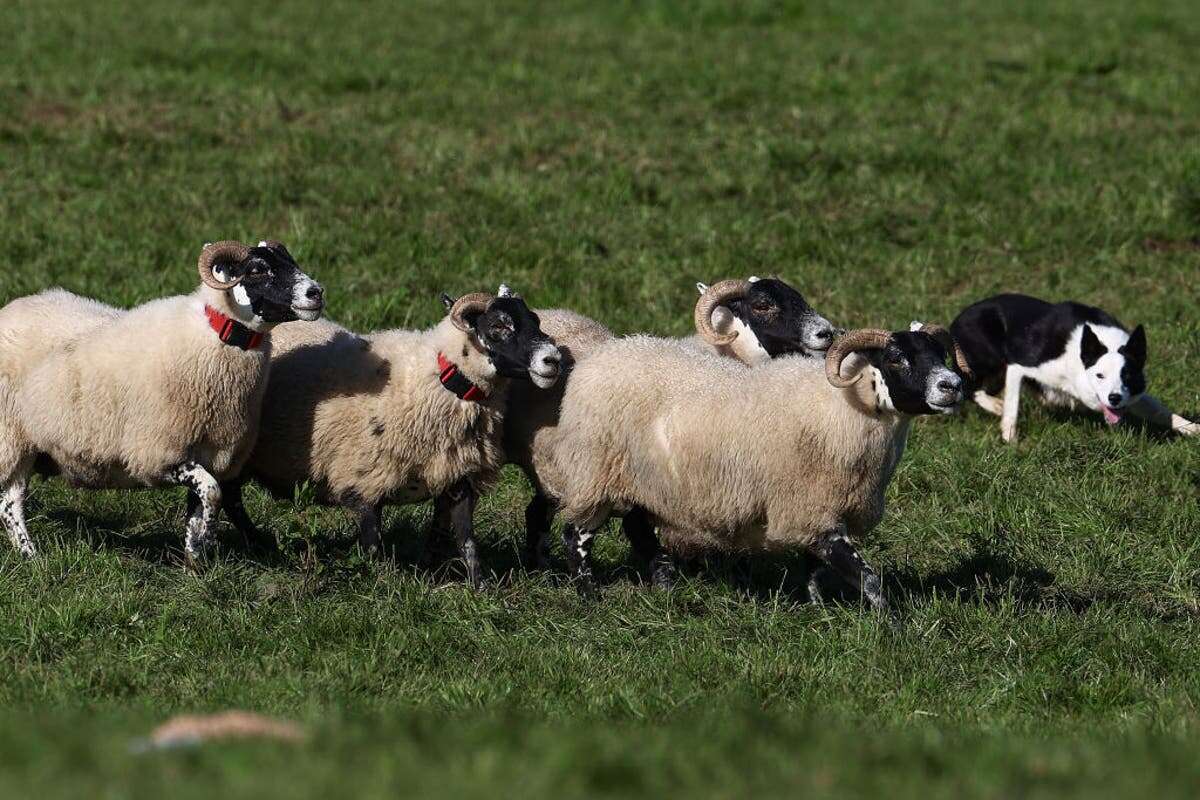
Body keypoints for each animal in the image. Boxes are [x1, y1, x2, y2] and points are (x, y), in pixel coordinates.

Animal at [0, 241, 326, 561]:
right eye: (257, 269)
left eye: (290, 261)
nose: (316, 292)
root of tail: (10, 310)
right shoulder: (160, 452)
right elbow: (213, 492)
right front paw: (208, 541)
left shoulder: (210, 452)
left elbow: (199, 507)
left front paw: (195, 561)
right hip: (11, 439)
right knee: (10, 503)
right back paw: (30, 555)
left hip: (27, 445)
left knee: (10, 501)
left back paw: (30, 556)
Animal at [220, 286, 561, 587]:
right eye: (498, 326)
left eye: (535, 321)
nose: (553, 360)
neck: (436, 380)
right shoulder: (363, 480)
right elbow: (373, 545)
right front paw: (380, 584)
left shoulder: (458, 476)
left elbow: (465, 539)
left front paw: (477, 586)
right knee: (230, 497)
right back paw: (257, 542)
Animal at [501, 278, 840, 585]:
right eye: (762, 305)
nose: (826, 332)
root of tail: (551, 312)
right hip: (584, 469)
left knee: (536, 513)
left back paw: (542, 569)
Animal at [540, 321, 969, 609]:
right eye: (896, 358)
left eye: (940, 354)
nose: (952, 385)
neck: (844, 407)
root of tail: (600, 358)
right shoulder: (810, 509)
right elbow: (868, 578)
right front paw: (890, 625)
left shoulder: (816, 512)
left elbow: (815, 570)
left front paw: (819, 611)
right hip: (595, 472)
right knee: (575, 536)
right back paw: (590, 596)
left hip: (646, 481)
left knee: (638, 529)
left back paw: (666, 588)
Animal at [950, 293, 1195, 443]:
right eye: (1099, 375)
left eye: (1127, 375)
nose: (1114, 398)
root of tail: (957, 320)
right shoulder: (1020, 365)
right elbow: (1013, 407)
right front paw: (1010, 440)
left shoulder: (1134, 395)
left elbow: (1163, 412)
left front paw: (1193, 429)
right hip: (990, 359)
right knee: (968, 386)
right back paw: (995, 405)